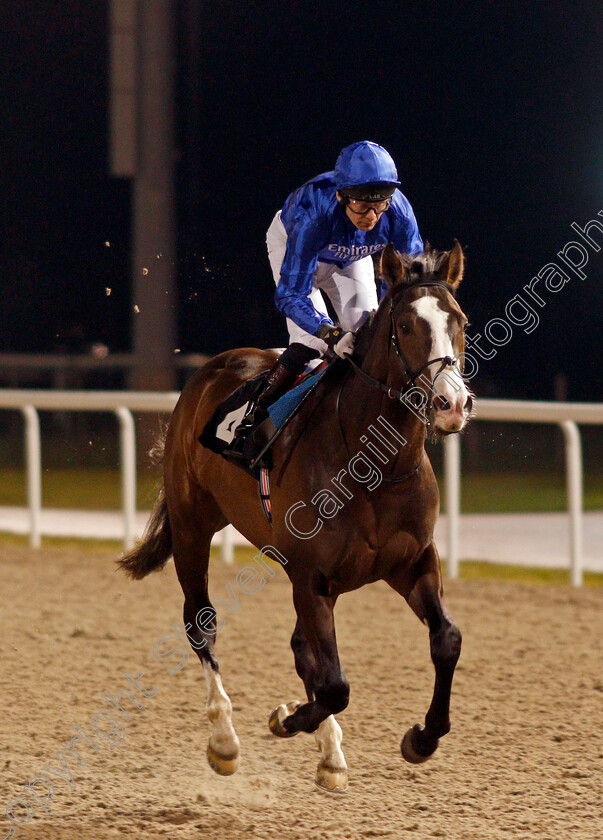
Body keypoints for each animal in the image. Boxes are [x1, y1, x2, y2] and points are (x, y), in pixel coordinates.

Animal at [119, 241, 476, 796]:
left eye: (457, 320)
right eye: (406, 325)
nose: (452, 403)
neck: (375, 461)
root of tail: (210, 370)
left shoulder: (412, 561)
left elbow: (446, 641)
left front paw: (422, 737)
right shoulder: (311, 576)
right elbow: (334, 685)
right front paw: (285, 719)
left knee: (302, 649)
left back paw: (330, 754)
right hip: (193, 524)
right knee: (201, 623)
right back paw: (225, 740)